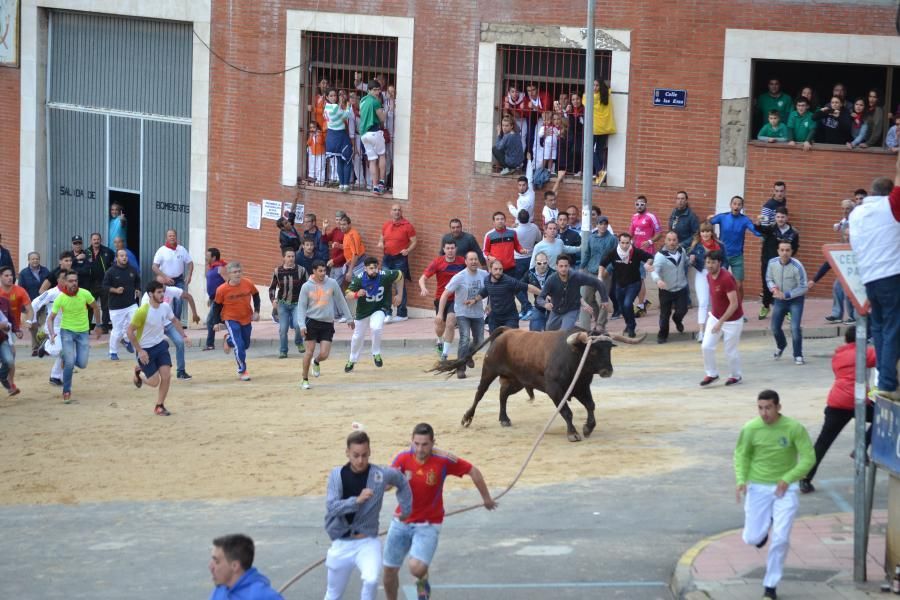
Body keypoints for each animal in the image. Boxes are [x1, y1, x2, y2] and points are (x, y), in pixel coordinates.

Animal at [430, 328, 636, 440]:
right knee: (480, 394)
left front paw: (588, 428)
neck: (573, 356)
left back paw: (504, 419)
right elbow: (566, 412)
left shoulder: (582, 388)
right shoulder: (555, 390)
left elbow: (591, 406)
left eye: (609, 349)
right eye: (593, 351)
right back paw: (467, 418)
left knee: (503, 395)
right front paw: (573, 433)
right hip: (489, 372)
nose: (607, 371)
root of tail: (507, 331)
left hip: (516, 381)